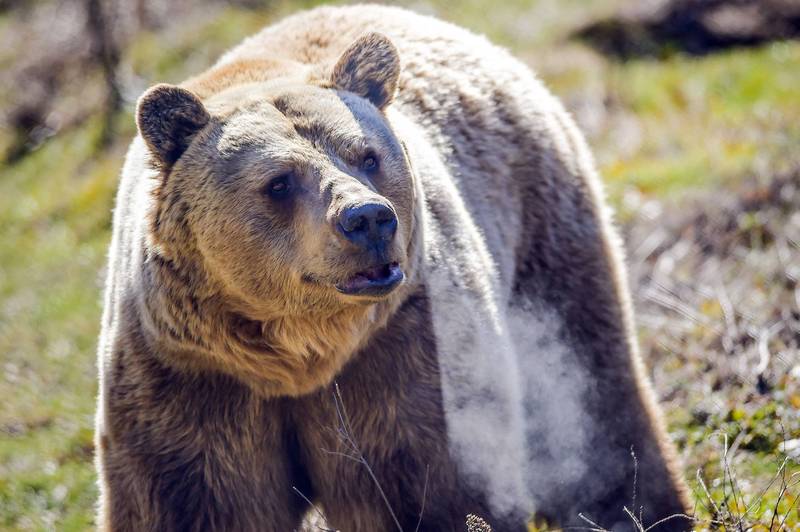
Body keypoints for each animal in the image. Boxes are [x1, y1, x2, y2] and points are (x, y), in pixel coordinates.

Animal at [94, 5, 692, 532]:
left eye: (366, 155)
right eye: (279, 181)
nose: (368, 219)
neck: (300, 356)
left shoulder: (404, 351)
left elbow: (438, 485)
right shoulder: (189, 380)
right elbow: (194, 502)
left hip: (543, 239)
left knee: (591, 396)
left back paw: (644, 513)